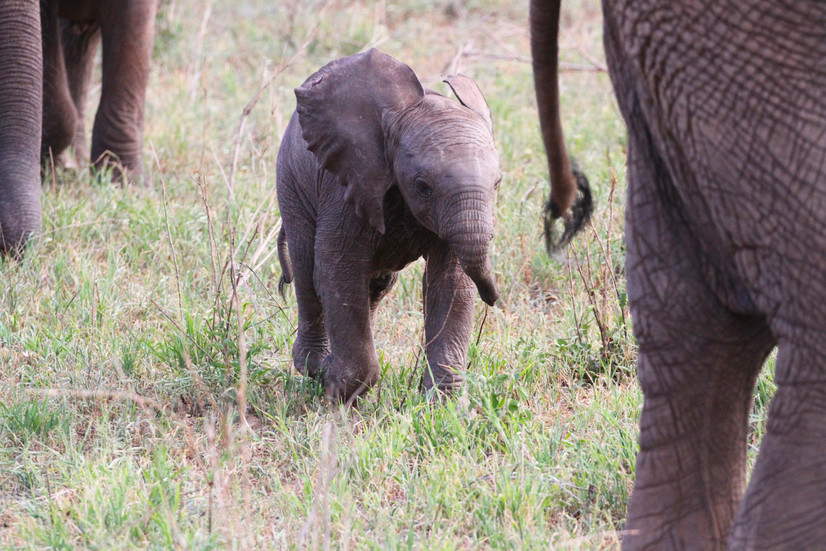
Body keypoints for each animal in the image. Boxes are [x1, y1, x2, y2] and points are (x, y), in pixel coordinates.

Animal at [276, 49, 501, 403]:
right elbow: (337, 271)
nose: (494, 299)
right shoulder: (347, 186)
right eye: (423, 186)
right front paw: (337, 388)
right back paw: (314, 366)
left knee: (377, 285)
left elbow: (450, 283)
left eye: (497, 184)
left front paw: (445, 406)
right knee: (305, 267)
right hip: (291, 181)